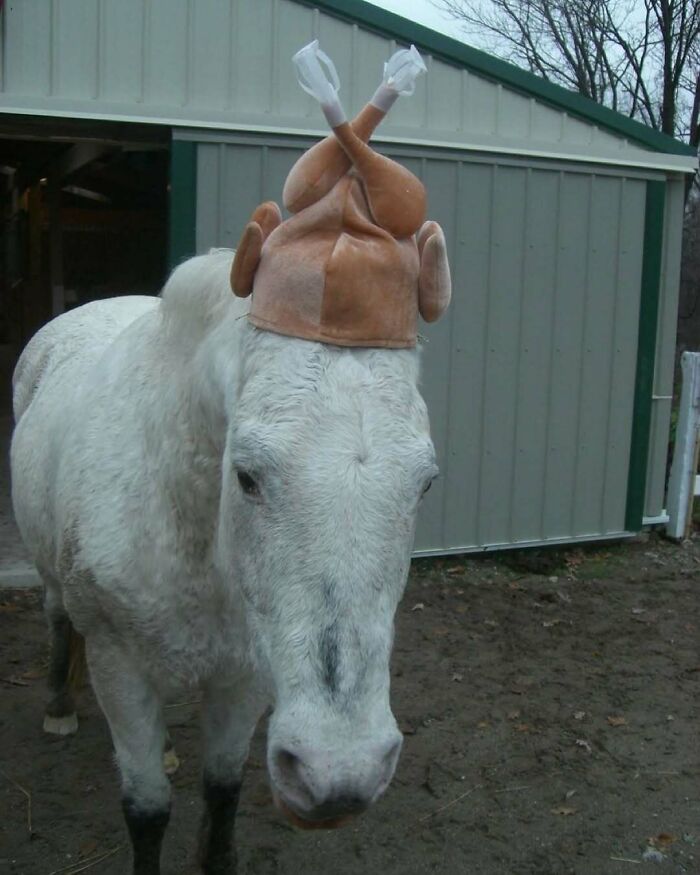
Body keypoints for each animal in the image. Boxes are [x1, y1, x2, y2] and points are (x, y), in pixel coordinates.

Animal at [10, 248, 439, 874]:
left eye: (426, 484)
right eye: (245, 475)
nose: (338, 775)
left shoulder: (246, 677)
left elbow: (222, 792)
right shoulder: (119, 670)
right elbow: (147, 810)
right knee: (56, 616)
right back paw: (59, 707)